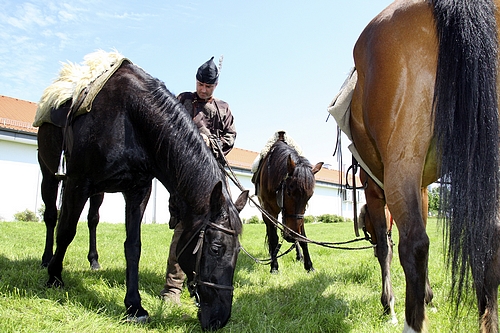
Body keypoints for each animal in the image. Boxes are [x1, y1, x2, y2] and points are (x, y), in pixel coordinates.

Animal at [256, 133, 322, 272]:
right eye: (289, 192)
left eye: (309, 196)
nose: (291, 236)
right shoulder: (269, 210)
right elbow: (274, 238)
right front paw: (274, 266)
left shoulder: (299, 217)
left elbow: (302, 238)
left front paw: (309, 265)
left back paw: (298, 255)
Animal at [350, 0, 500, 330]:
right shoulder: (422, 189)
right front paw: (428, 296)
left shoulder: (375, 191)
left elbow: (385, 248)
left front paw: (389, 304)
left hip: (401, 160)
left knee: (414, 244)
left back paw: (410, 322)